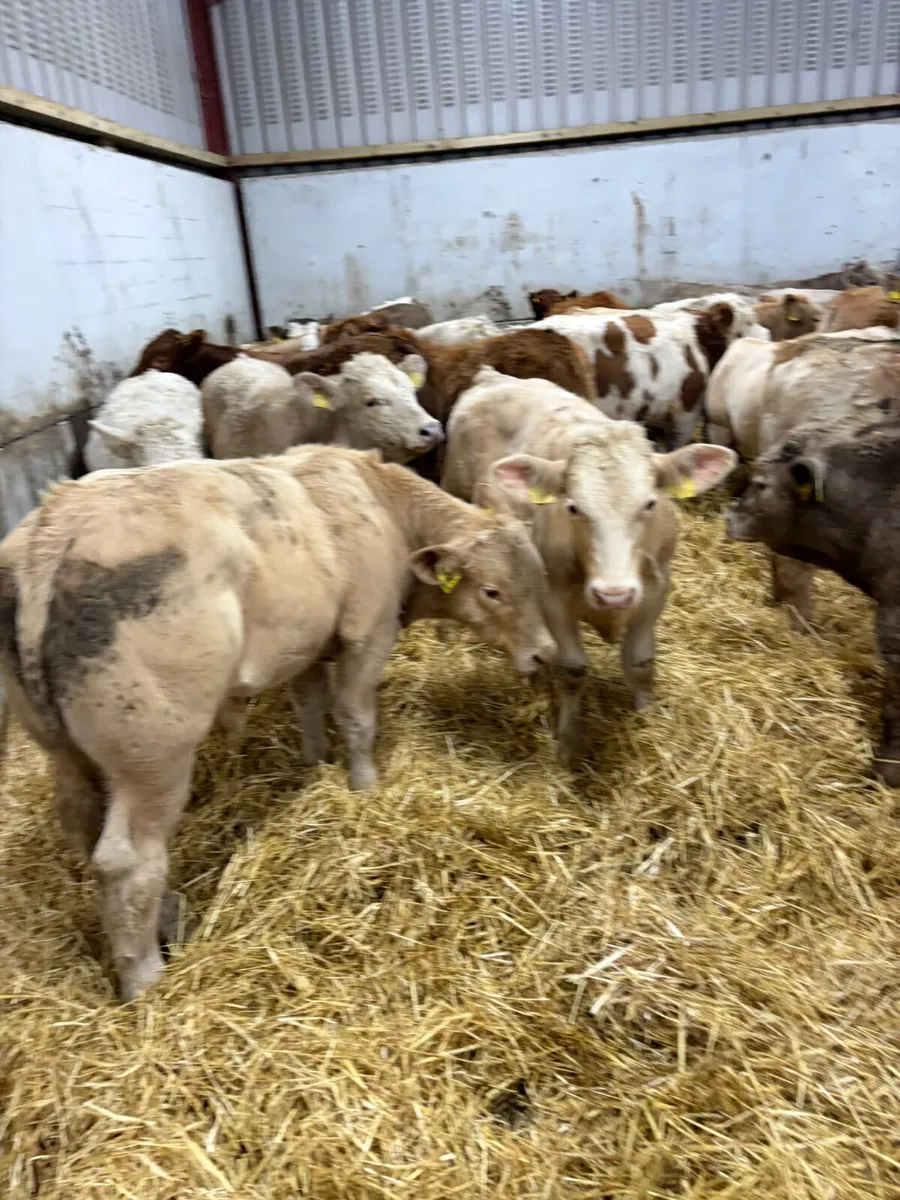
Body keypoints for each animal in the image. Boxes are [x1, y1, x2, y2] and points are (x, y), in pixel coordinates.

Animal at [0, 445, 555, 1000]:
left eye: (538, 580)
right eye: (491, 591)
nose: (544, 654)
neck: (383, 505)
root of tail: (53, 530)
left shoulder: (307, 648)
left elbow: (309, 706)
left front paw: (317, 766)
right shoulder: (368, 635)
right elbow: (356, 718)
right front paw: (365, 785)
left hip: (66, 749)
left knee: (85, 828)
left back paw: (170, 919)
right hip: (152, 756)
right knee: (128, 860)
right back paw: (146, 979)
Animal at [442, 368, 736, 764]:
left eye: (649, 503)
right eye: (573, 507)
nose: (614, 595)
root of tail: (492, 375)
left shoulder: (655, 591)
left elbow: (641, 663)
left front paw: (648, 718)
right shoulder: (552, 599)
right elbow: (572, 670)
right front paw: (568, 745)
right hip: (453, 486)